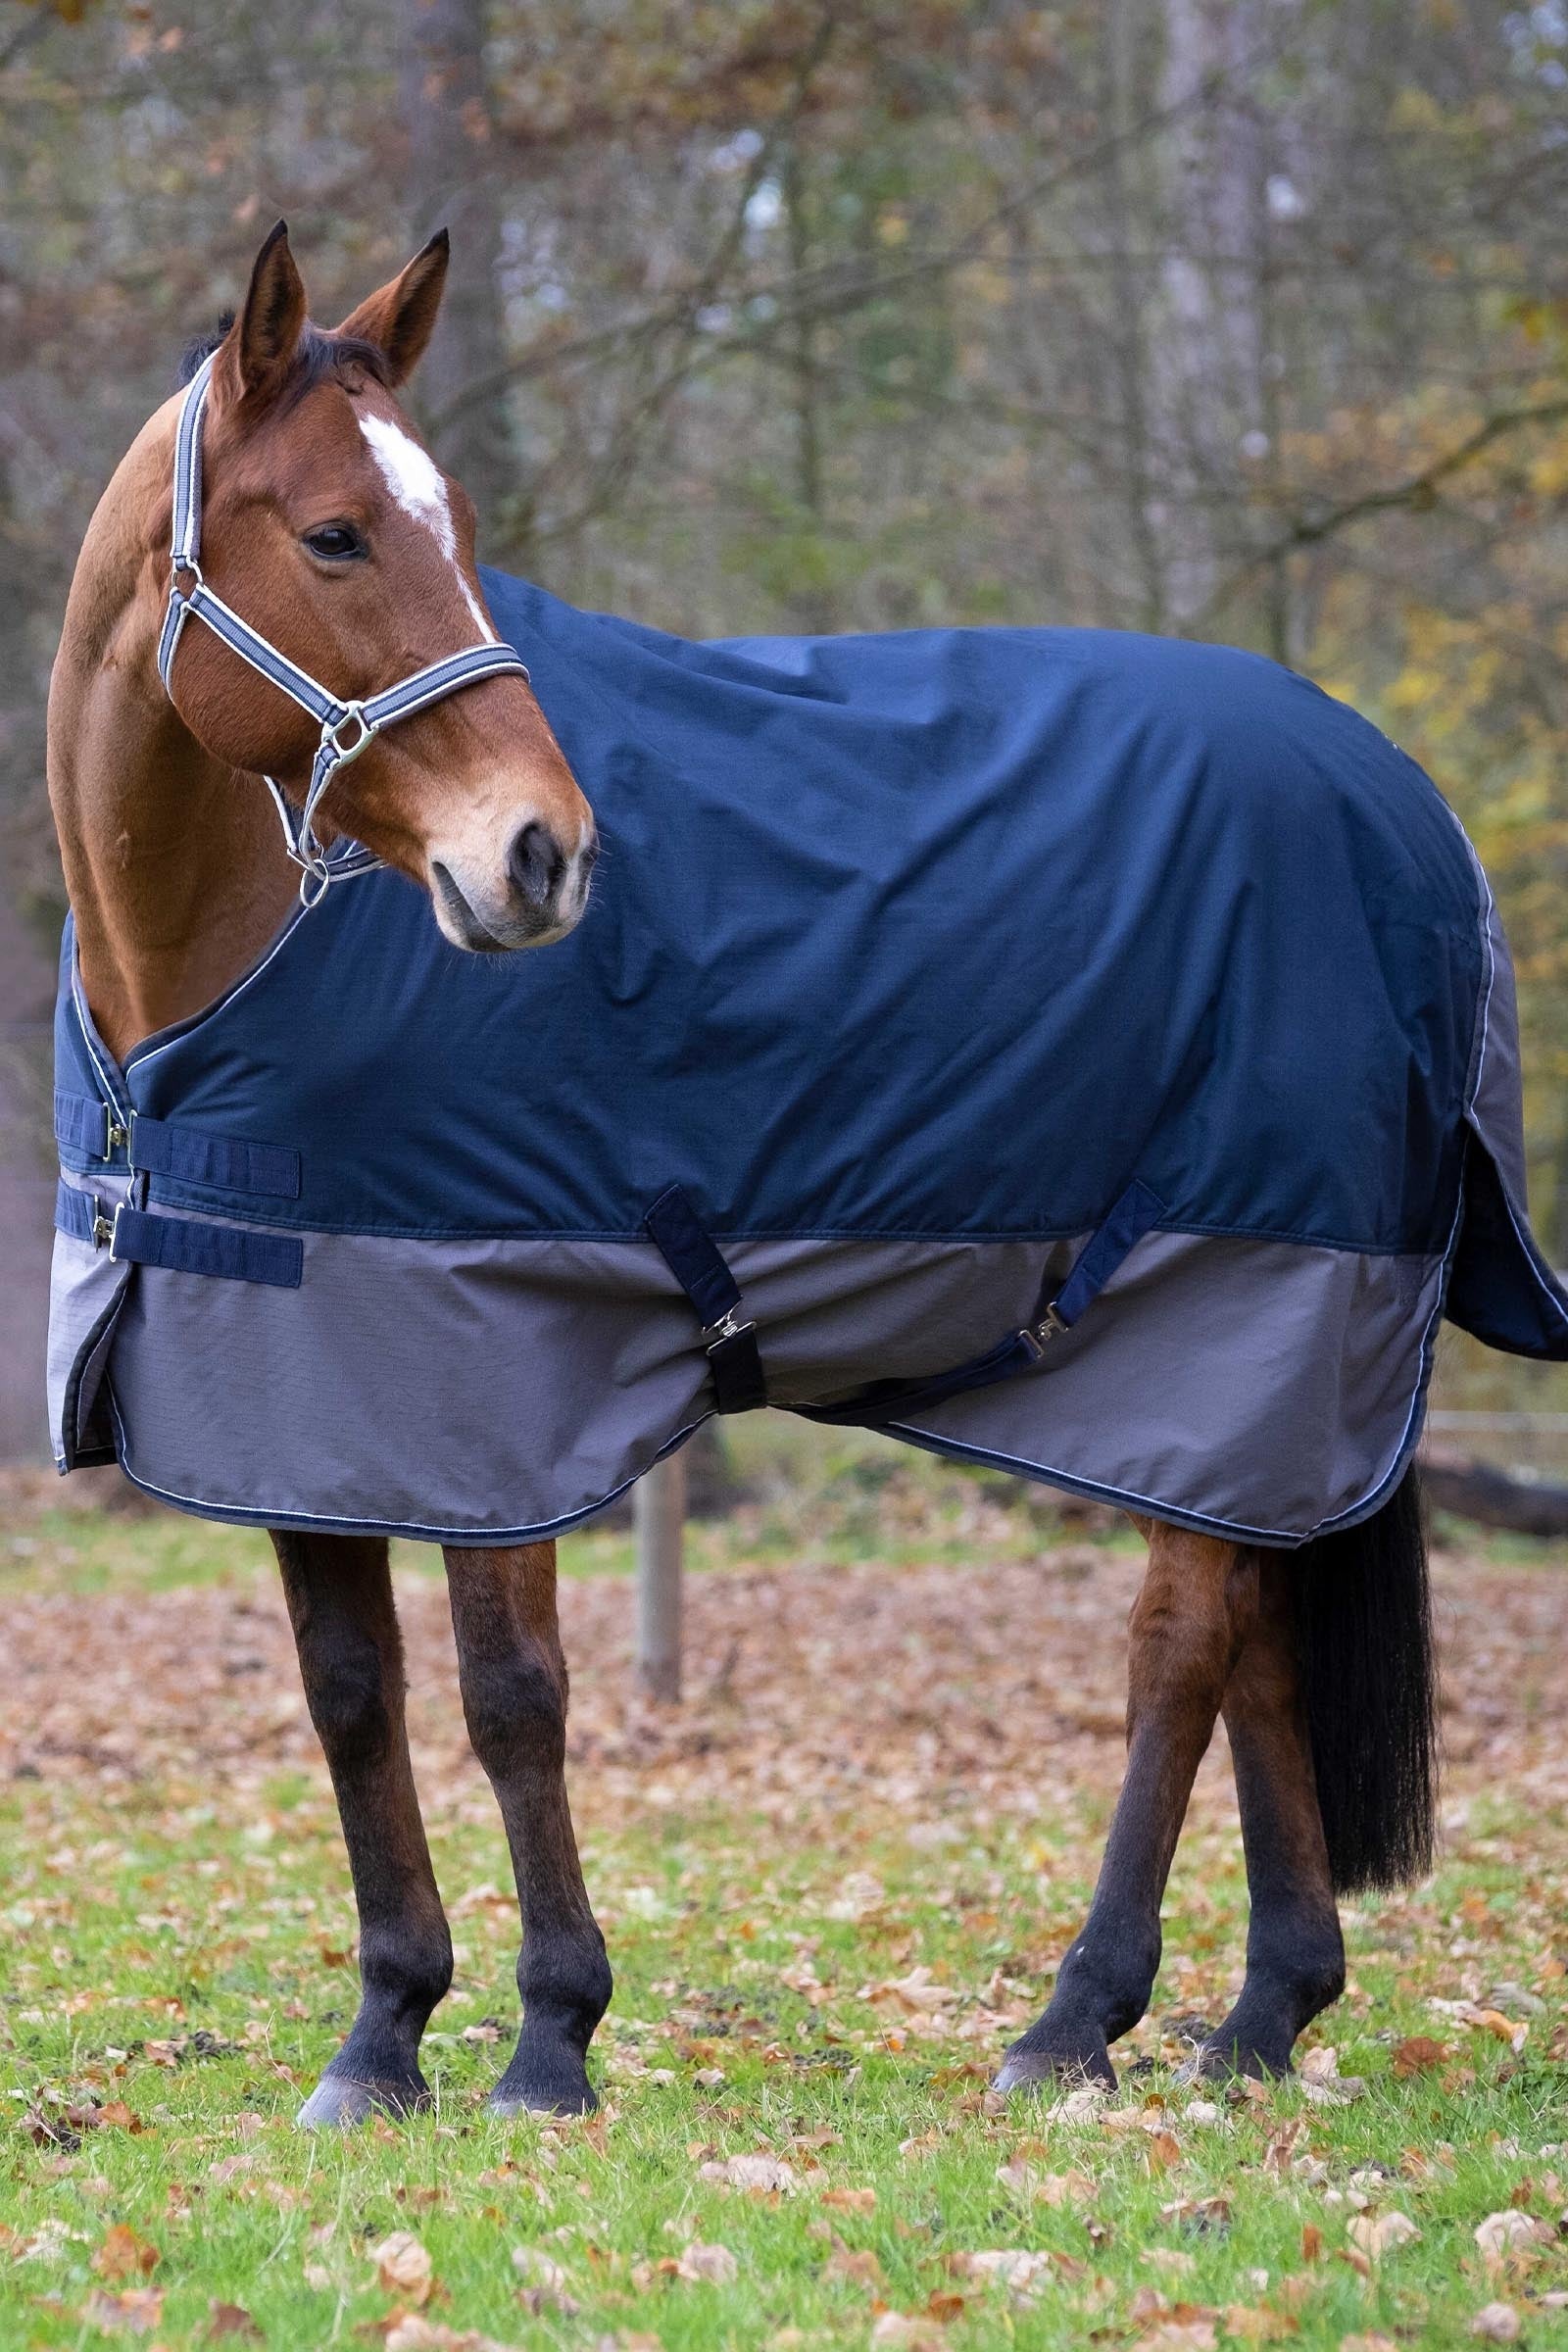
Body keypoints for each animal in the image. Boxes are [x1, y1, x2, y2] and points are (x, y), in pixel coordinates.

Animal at [51, 221, 1542, 2128]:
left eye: (459, 526)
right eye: (333, 533)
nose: (543, 856)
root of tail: (1407, 811)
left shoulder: (494, 1383)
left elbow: (509, 1697)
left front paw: (549, 2038)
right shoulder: (302, 1382)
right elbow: (351, 1696)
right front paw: (382, 2039)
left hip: (1235, 1306)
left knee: (1181, 1654)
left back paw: (1077, 2021)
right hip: (1251, 1371)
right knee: (1263, 1636)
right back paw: (1261, 2018)